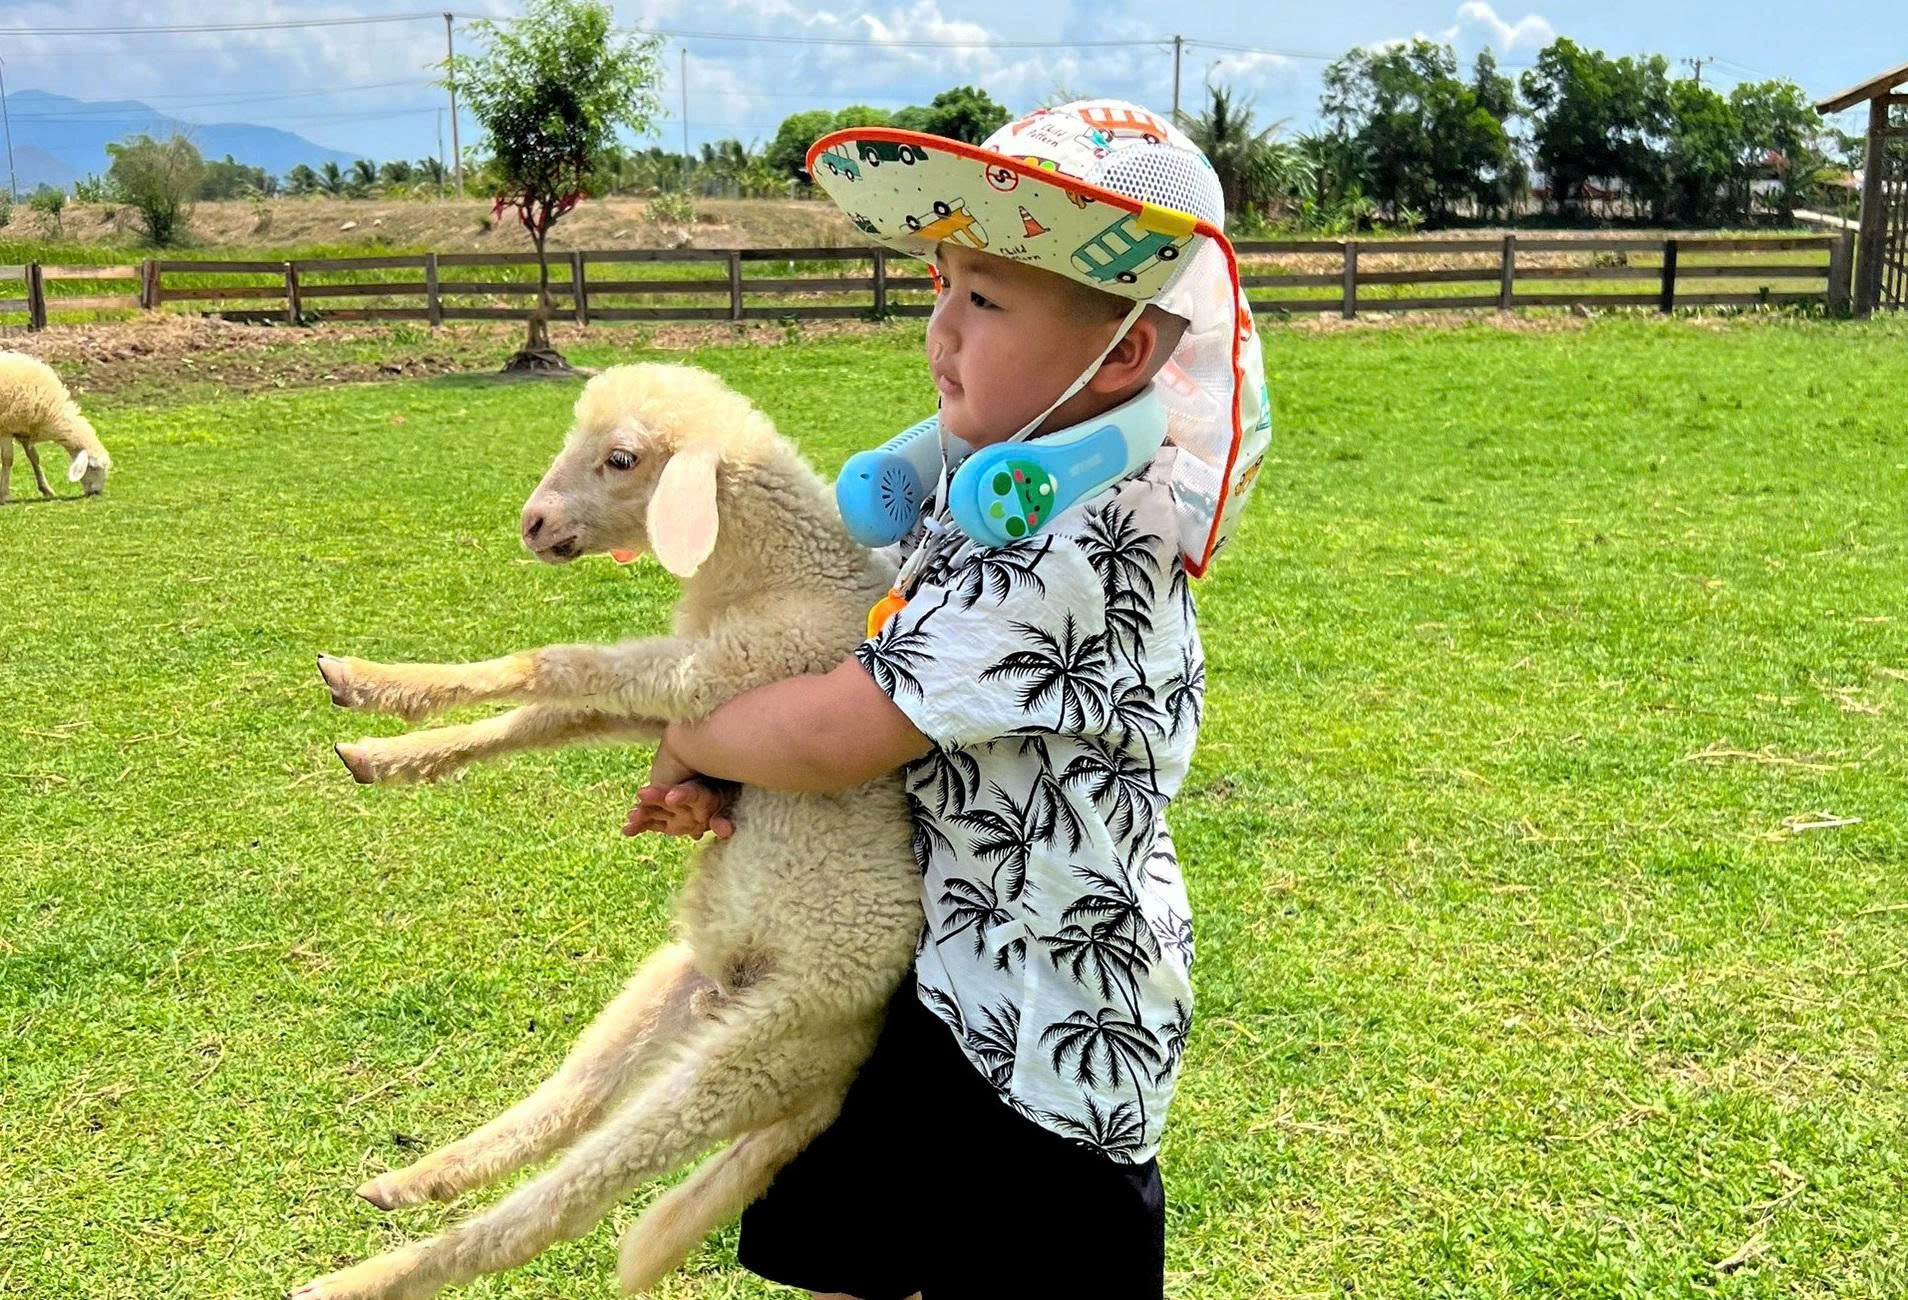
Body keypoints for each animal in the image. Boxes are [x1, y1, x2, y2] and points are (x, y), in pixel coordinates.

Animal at [0, 352, 110, 503]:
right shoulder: (6, 428)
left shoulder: (24, 430)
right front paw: (4, 495)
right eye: (93, 468)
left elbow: (34, 458)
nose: (96, 493)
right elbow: (7, 459)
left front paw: (46, 489)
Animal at [294, 363, 922, 1300]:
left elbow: (553, 665)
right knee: (568, 1102)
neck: (785, 576)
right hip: (669, 993)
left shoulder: (732, 674)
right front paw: (383, 741)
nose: (532, 523)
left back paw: (357, 1279)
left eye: (621, 458)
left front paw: (375, 692)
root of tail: (832, 1081)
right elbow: (552, 715)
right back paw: (416, 1179)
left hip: (750, 1056)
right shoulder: (692, 699)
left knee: (557, 1205)